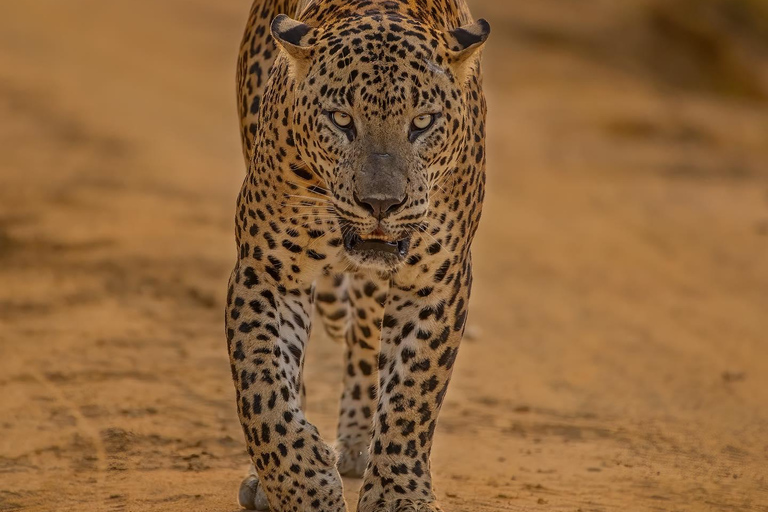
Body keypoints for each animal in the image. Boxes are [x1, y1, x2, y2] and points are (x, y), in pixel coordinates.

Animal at [226, 0, 489, 510]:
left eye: (422, 122)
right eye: (341, 119)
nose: (381, 204)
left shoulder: (436, 279)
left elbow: (412, 393)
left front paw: (398, 494)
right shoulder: (265, 269)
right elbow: (262, 387)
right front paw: (301, 484)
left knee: (366, 344)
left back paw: (355, 445)